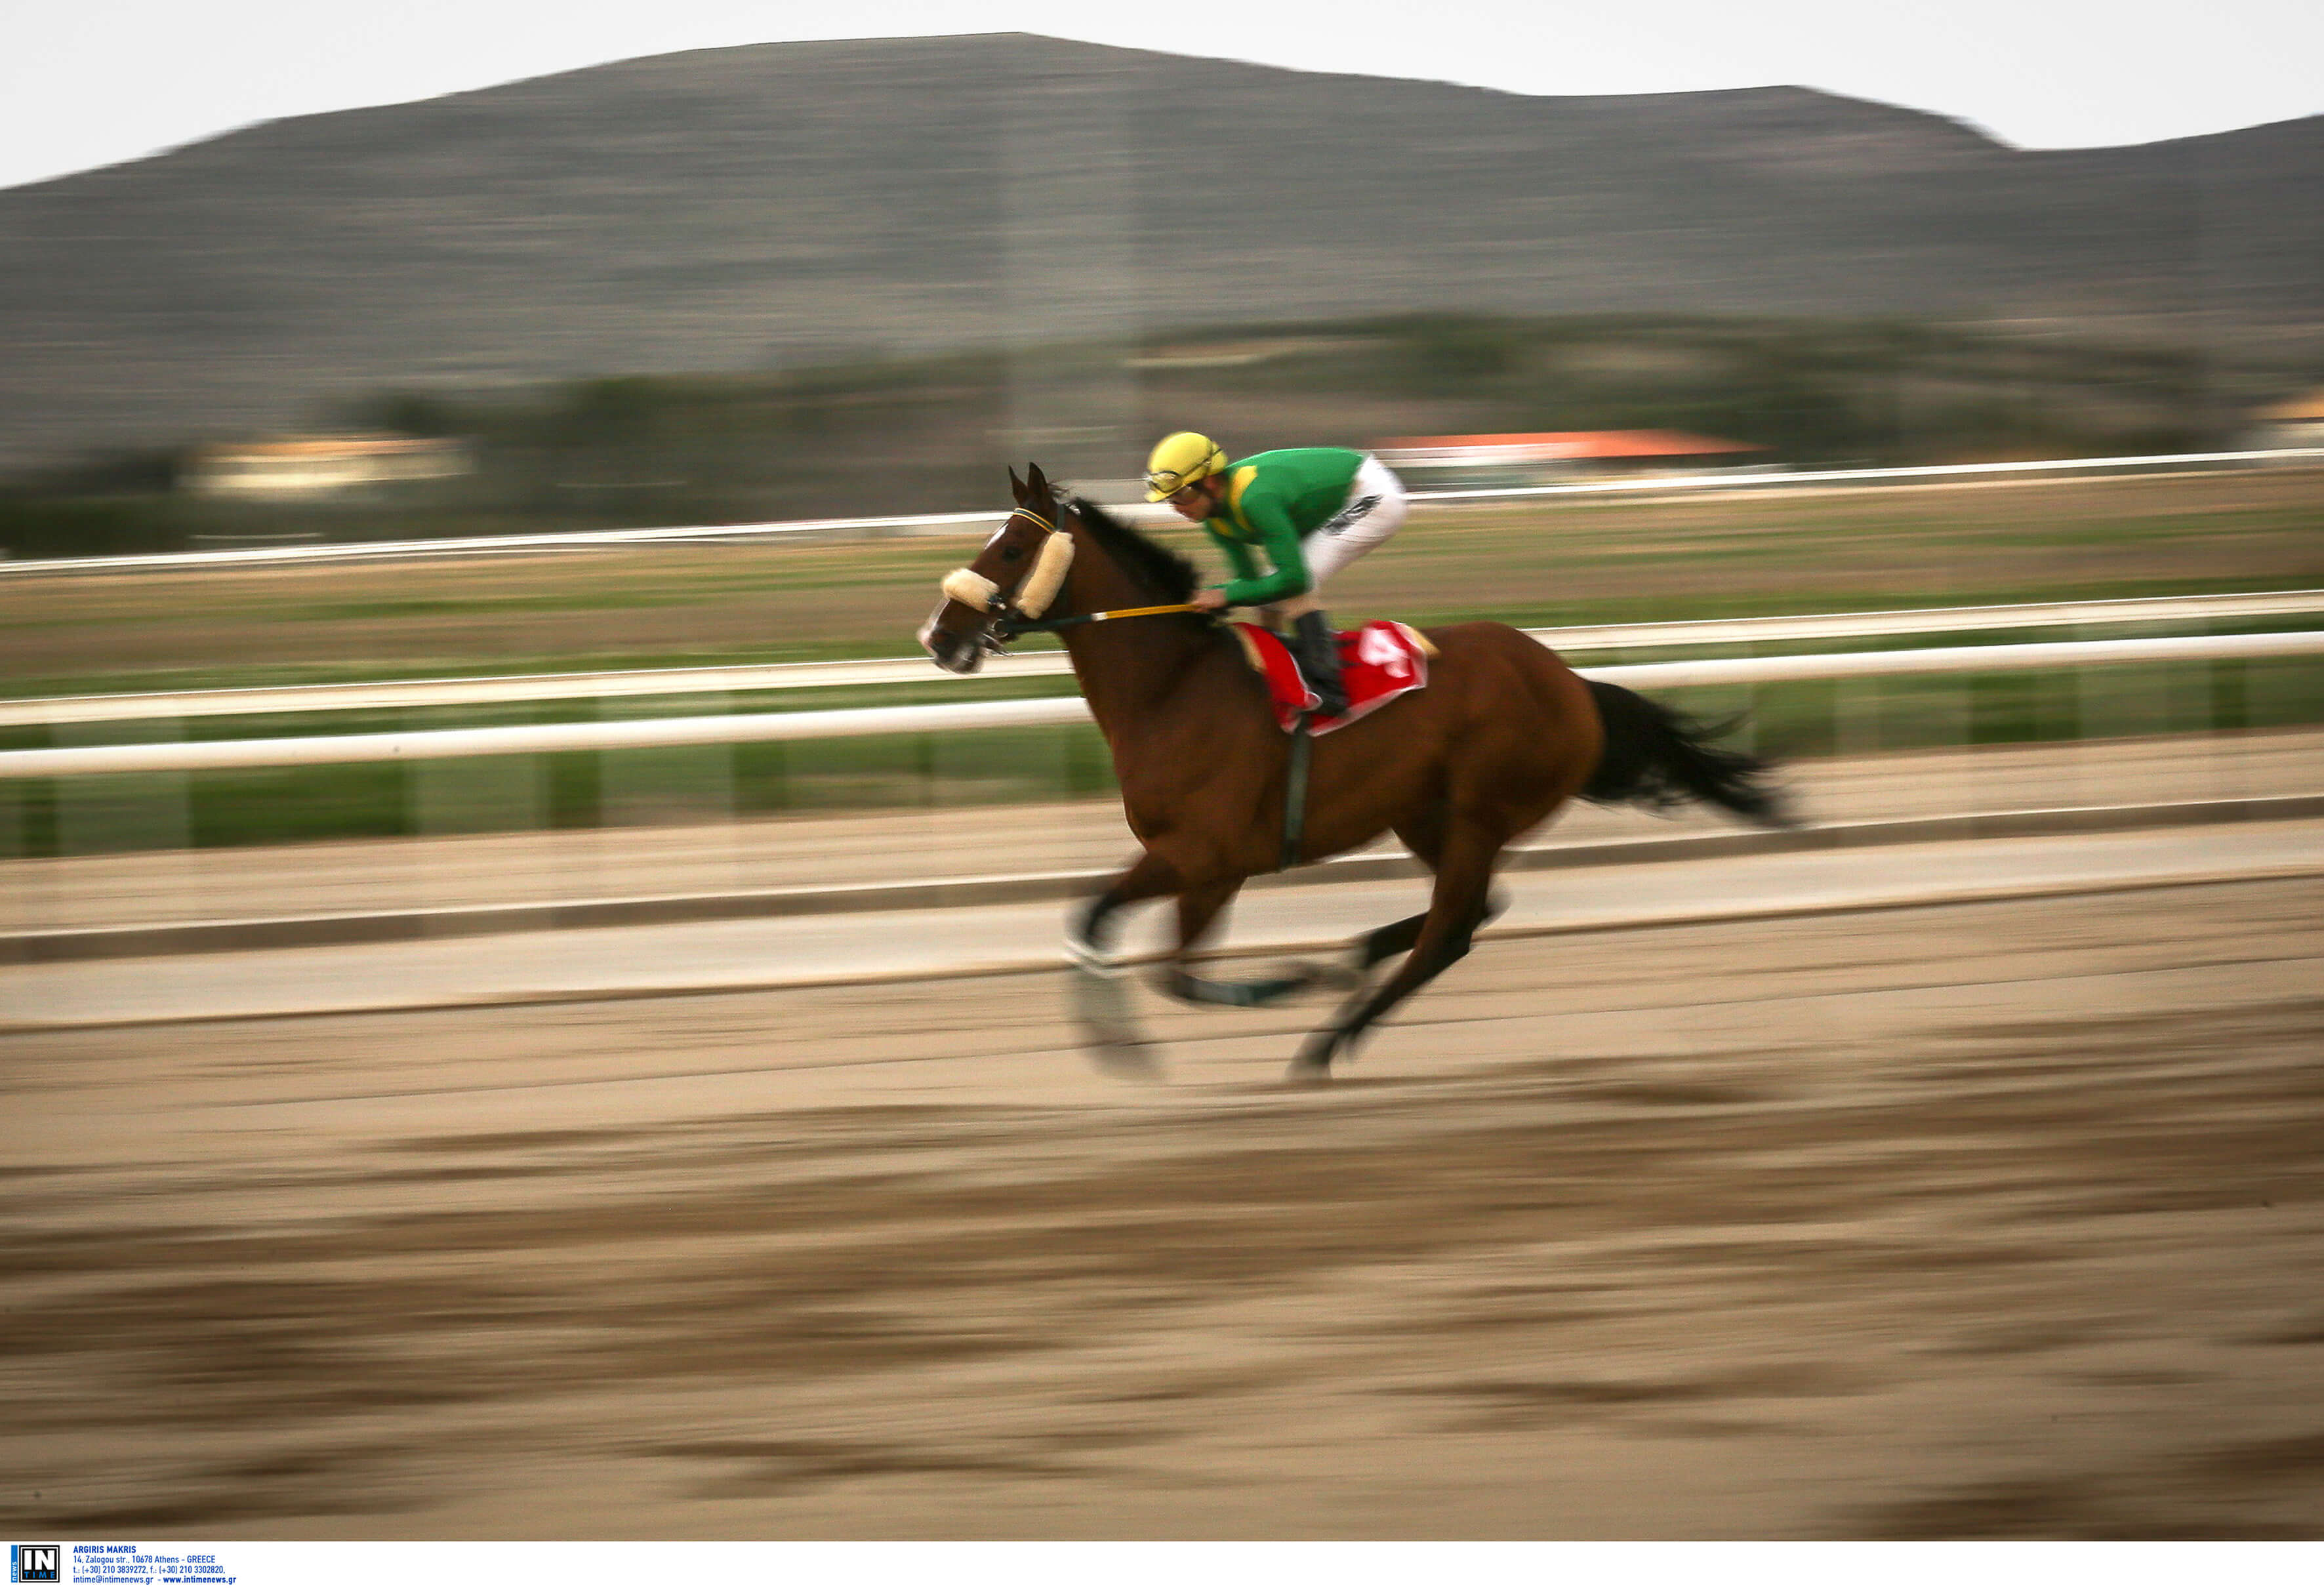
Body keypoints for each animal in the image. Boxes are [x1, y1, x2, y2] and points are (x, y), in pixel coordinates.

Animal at [915, 462, 1785, 1078]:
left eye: (1011, 548)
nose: (938, 636)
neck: (1174, 688)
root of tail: (1572, 682)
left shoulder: (1202, 856)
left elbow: (1135, 945)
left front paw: (1276, 988)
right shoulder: (1205, 866)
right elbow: (1134, 948)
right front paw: (1127, 1040)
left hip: (1478, 810)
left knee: (1450, 930)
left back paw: (1329, 1038)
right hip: (1425, 814)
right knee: (1474, 912)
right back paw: (1358, 956)